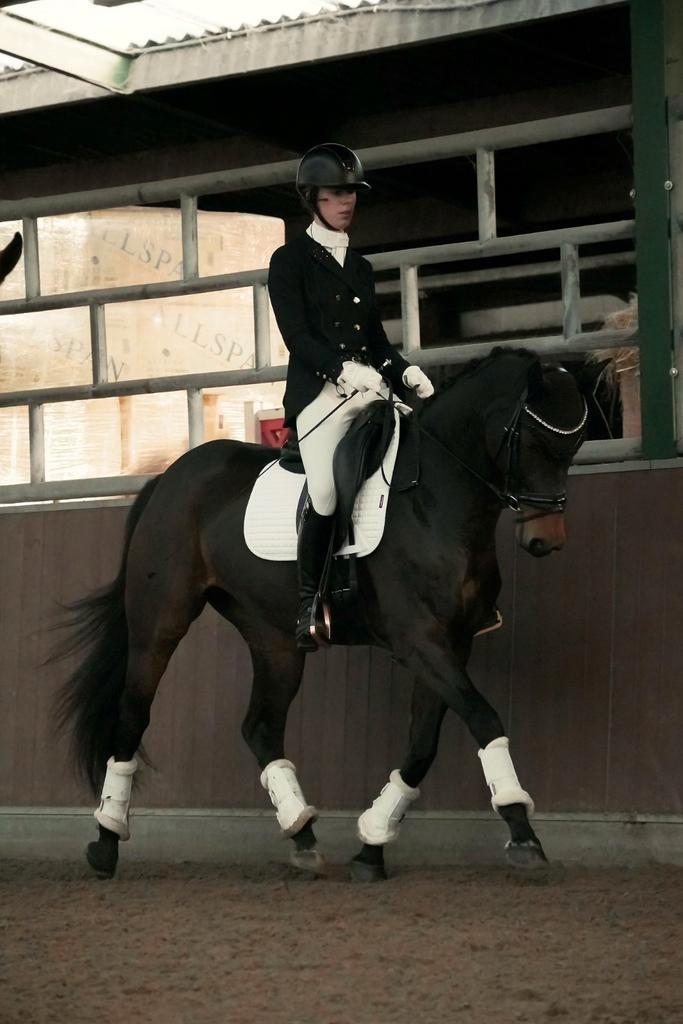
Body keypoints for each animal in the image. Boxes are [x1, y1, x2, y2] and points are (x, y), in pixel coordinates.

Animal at [56, 346, 602, 881]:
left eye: (576, 446)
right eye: (535, 442)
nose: (545, 541)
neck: (433, 500)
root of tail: (169, 476)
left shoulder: (451, 641)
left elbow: (422, 745)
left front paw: (372, 845)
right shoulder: (418, 640)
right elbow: (484, 718)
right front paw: (521, 829)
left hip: (274, 638)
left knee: (260, 726)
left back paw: (302, 834)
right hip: (160, 622)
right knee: (132, 715)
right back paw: (106, 842)